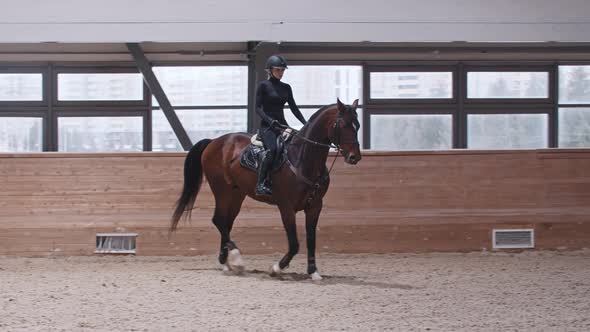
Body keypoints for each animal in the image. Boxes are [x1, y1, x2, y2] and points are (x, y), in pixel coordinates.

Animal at [171, 98, 364, 280]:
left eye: (357, 125)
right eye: (343, 125)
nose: (354, 157)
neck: (301, 159)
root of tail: (214, 142)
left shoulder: (315, 206)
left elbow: (311, 240)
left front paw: (313, 272)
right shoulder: (286, 206)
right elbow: (294, 244)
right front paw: (276, 268)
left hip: (236, 194)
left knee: (226, 222)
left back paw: (226, 262)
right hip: (222, 190)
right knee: (218, 220)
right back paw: (236, 259)